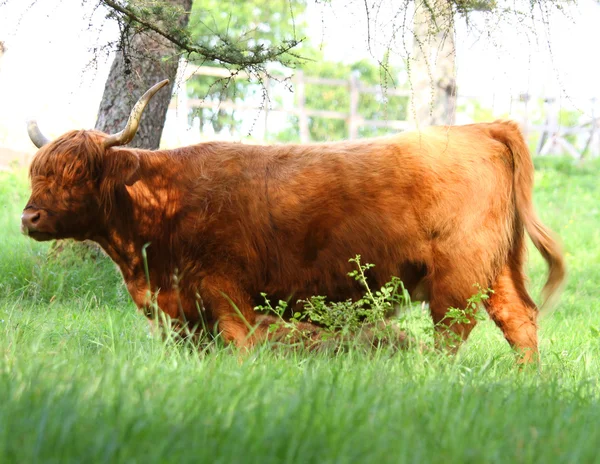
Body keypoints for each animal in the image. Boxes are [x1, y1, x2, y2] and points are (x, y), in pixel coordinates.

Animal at [23, 80, 564, 362]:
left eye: (78, 176)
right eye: (37, 173)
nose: (29, 217)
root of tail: (482, 128)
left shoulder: (227, 293)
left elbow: (242, 345)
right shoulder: (187, 314)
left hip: (457, 274)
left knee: (452, 332)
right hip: (496, 268)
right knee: (519, 319)